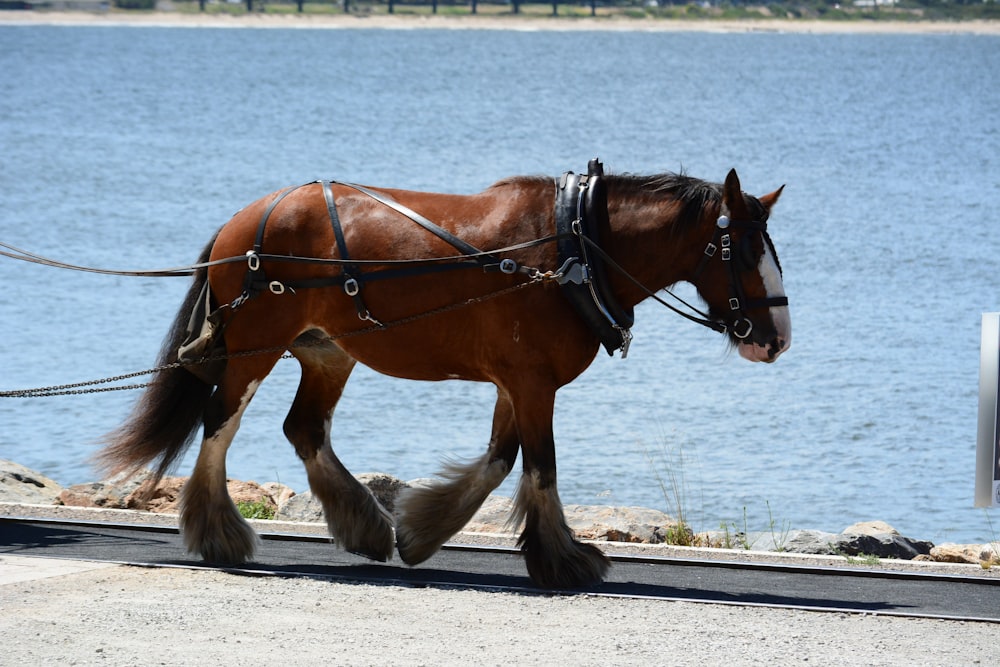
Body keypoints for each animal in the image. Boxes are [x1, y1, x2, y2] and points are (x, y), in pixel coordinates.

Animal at [99, 162, 788, 588]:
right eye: (742, 249)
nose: (778, 339)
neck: (572, 246)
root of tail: (247, 218)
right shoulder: (532, 383)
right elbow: (540, 466)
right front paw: (565, 560)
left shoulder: (518, 382)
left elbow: (500, 460)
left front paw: (423, 531)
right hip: (254, 348)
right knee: (220, 423)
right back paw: (219, 534)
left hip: (327, 351)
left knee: (305, 430)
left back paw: (363, 524)